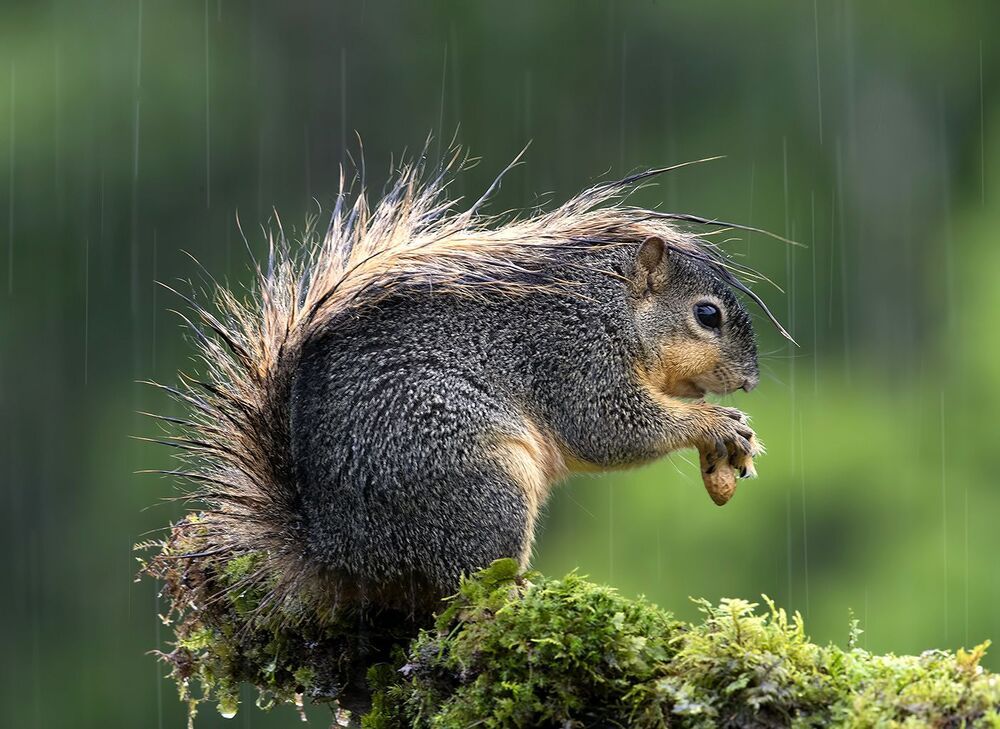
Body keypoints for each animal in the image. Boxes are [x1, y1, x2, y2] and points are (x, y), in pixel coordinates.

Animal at [150, 150, 789, 619]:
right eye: (707, 315)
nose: (750, 382)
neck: (615, 311)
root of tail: (338, 551)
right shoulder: (573, 358)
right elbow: (610, 429)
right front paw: (715, 423)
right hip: (481, 486)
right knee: (467, 581)